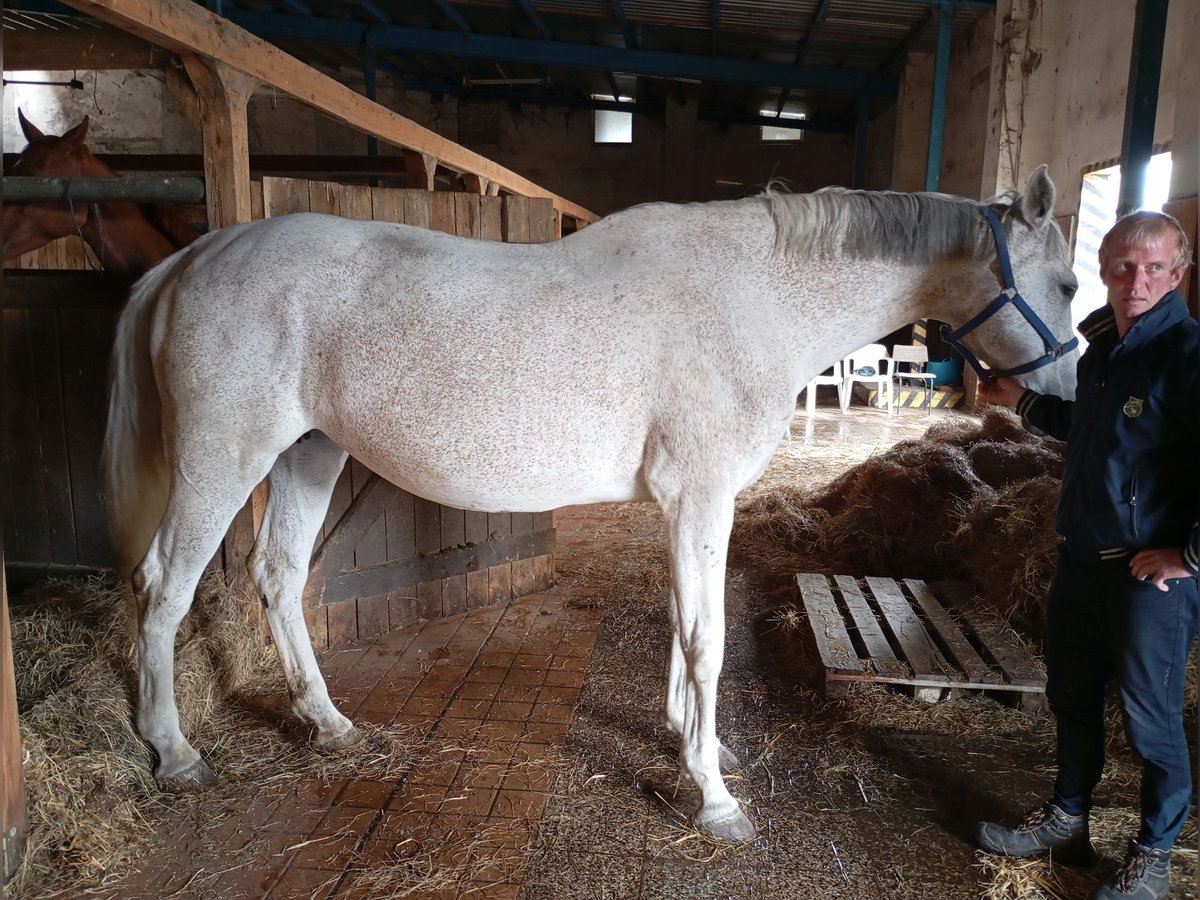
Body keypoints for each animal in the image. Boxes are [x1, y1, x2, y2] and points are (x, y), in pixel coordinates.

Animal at [103, 164, 1080, 844]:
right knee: (162, 587)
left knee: (277, 576)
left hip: (310, 453)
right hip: (224, 458)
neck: (753, 296)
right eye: (1069, 284)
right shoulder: (699, 496)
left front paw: (697, 744)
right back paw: (173, 751)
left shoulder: (692, 505)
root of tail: (192, 257)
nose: (1066, 394)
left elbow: (687, 626)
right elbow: (706, 640)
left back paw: (330, 725)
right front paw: (715, 799)